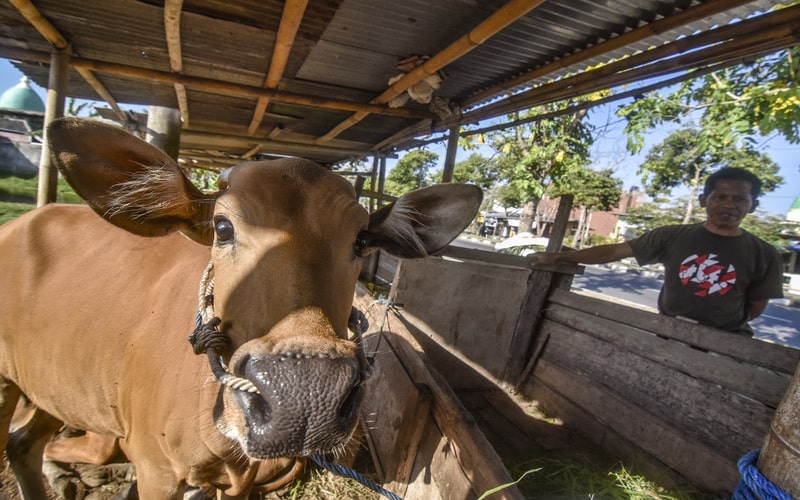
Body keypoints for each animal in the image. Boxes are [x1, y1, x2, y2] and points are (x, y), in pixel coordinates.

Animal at [0, 118, 482, 500]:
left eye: (361, 240)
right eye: (222, 226)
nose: (304, 398)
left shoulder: (242, 478)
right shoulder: (155, 470)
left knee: (22, 443)